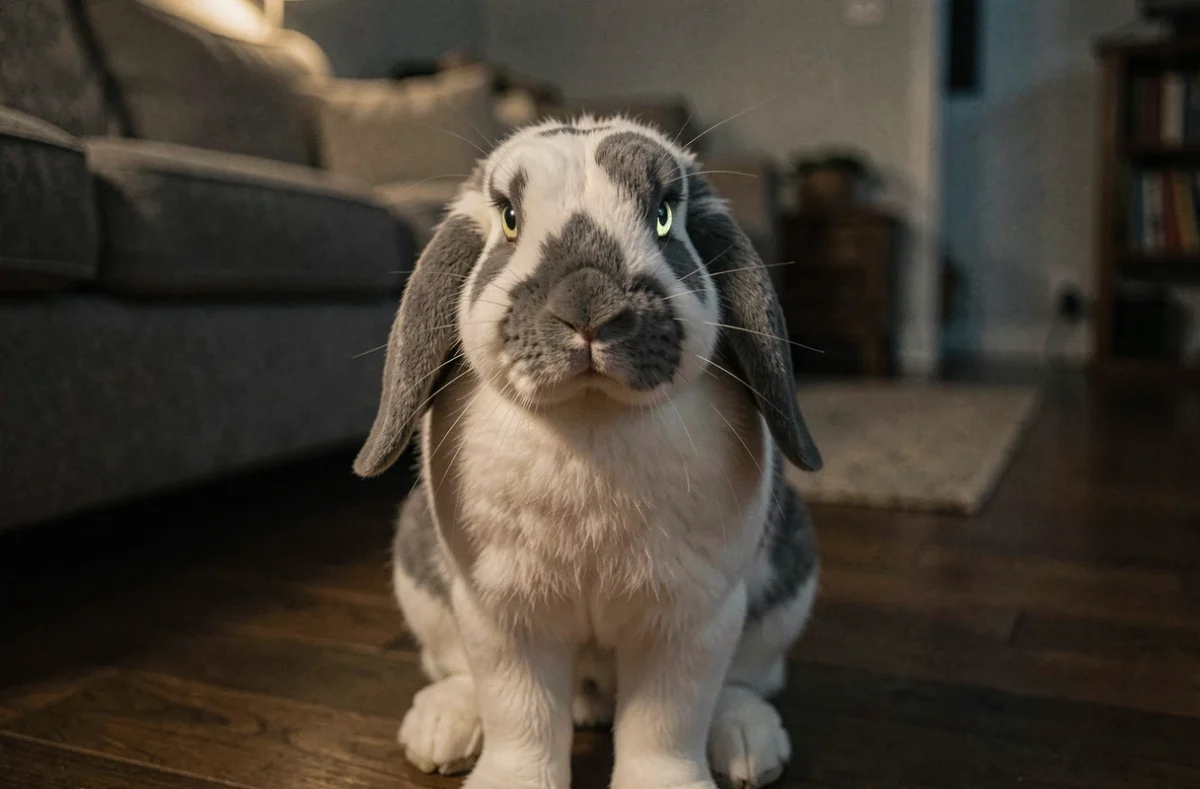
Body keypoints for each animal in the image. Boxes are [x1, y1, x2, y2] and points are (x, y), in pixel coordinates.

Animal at [354, 115, 823, 789]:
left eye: (664, 216)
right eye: (510, 218)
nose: (590, 306)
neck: (590, 415)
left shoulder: (689, 619)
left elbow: (666, 723)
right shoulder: (503, 616)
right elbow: (520, 716)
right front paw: (510, 781)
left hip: (781, 589)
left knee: (747, 680)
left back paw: (747, 745)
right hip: (424, 581)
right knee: (458, 673)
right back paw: (441, 730)